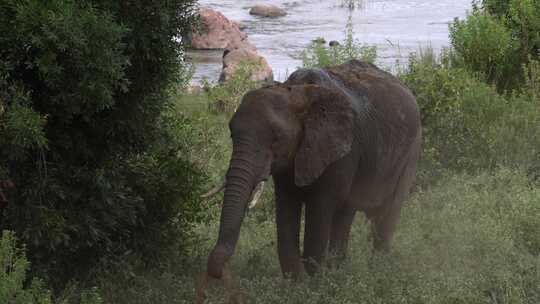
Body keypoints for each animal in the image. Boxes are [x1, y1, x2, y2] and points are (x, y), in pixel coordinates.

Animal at [207, 59, 422, 280]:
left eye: (276, 138)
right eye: (231, 134)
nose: (221, 273)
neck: (296, 93)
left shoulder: (341, 152)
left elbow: (319, 211)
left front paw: (312, 284)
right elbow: (286, 209)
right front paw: (297, 283)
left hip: (411, 151)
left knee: (386, 216)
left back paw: (377, 271)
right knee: (347, 213)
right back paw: (339, 272)